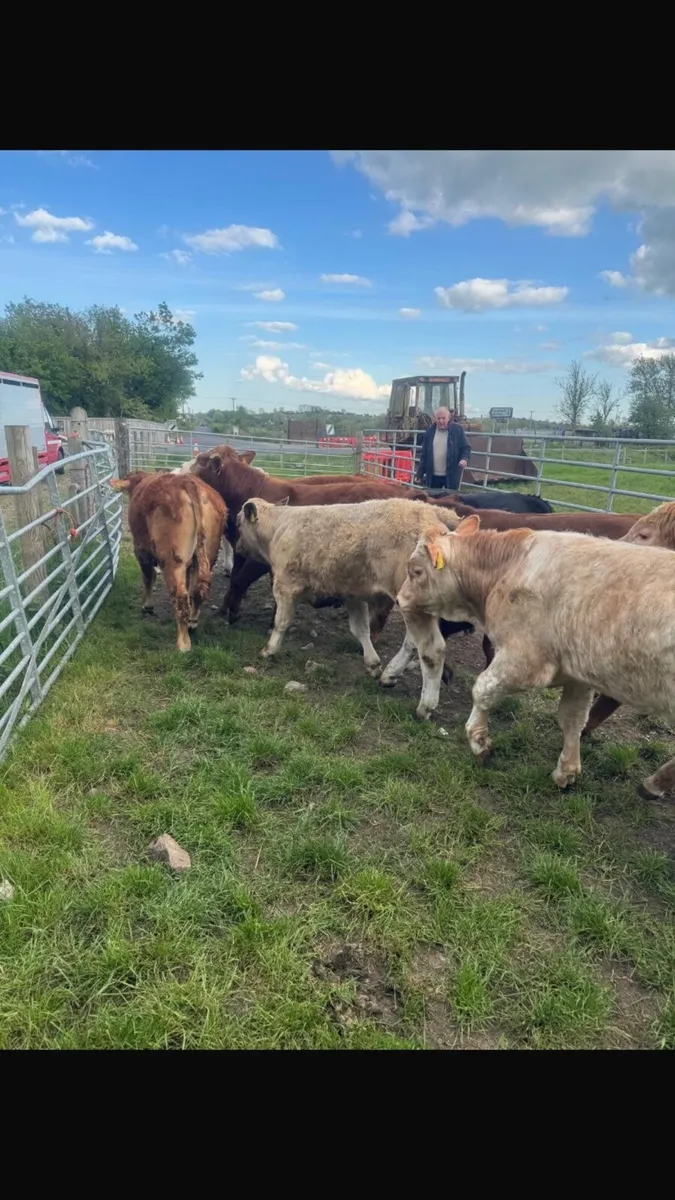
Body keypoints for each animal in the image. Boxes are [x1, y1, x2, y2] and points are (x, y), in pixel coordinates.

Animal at [112, 471, 227, 652]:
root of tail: (187, 481)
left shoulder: (141, 550)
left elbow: (148, 577)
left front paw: (147, 605)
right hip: (207, 555)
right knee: (196, 591)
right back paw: (192, 624)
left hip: (172, 559)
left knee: (181, 597)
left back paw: (183, 644)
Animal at [235, 496, 459, 680]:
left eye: (238, 523)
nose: (237, 547)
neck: (279, 528)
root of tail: (431, 510)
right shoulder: (353, 595)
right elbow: (361, 630)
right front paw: (372, 663)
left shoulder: (285, 588)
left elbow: (280, 622)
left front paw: (270, 650)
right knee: (416, 643)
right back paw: (390, 675)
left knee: (430, 648)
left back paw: (422, 701)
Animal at [395, 512, 675, 801]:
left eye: (416, 571)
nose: (400, 597)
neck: (507, 569)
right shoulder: (577, 675)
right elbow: (572, 718)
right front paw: (566, 771)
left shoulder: (525, 660)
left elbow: (482, 690)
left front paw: (479, 742)